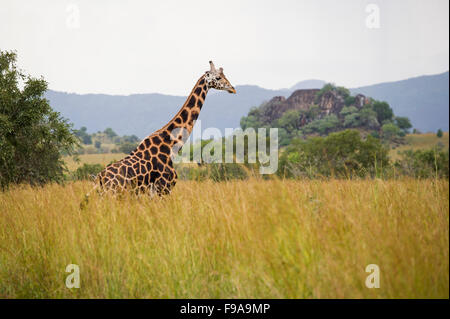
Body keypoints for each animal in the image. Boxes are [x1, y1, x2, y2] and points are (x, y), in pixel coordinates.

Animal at [95, 61, 236, 196]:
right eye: (218, 77)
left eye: (225, 75)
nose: (232, 89)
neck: (171, 145)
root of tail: (99, 178)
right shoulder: (163, 188)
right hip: (114, 193)